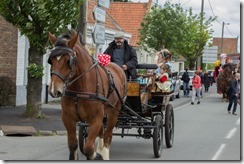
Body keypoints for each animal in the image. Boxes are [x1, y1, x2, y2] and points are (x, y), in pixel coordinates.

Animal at [48, 29, 127, 160]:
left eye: (68, 61)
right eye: (51, 61)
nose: (54, 90)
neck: (79, 91)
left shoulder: (95, 119)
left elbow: (88, 149)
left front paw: (96, 155)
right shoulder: (68, 118)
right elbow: (73, 145)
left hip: (114, 112)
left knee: (108, 135)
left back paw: (104, 154)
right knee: (102, 132)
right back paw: (99, 150)